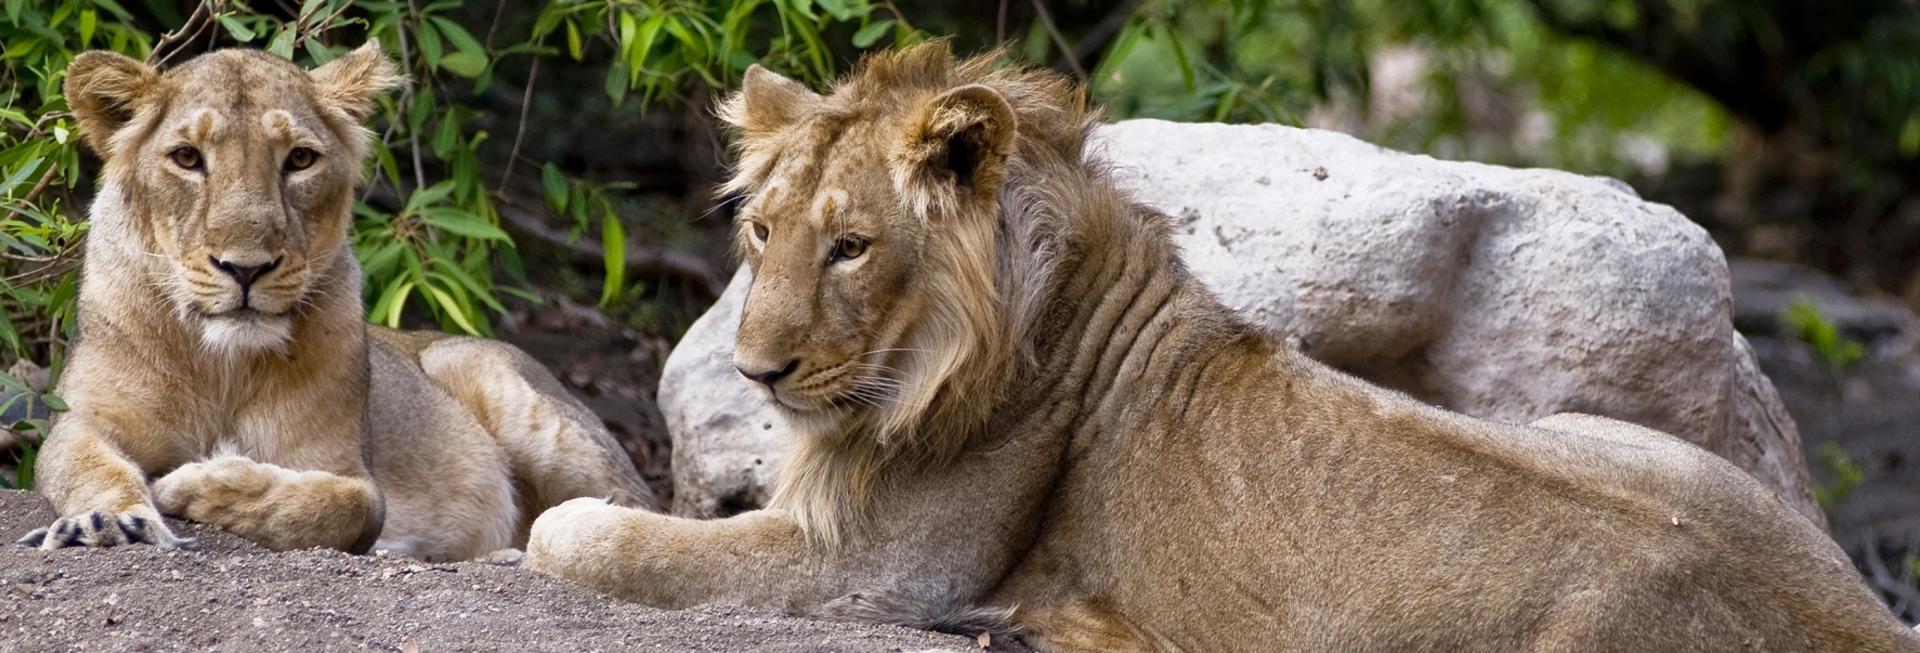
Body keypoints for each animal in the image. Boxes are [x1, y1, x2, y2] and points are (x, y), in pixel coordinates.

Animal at [15, 43, 652, 562]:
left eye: (299, 159)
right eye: (187, 158)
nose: (246, 268)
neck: (220, 364)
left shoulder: (346, 468)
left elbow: (343, 506)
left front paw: (196, 482)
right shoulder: (81, 420)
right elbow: (88, 465)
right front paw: (111, 522)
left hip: (499, 387)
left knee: (630, 509)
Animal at [523, 44, 1919, 651]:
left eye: (852, 246)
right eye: (762, 231)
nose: (756, 374)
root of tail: (1857, 622)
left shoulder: (878, 569)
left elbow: (593, 535)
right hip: (1612, 430)